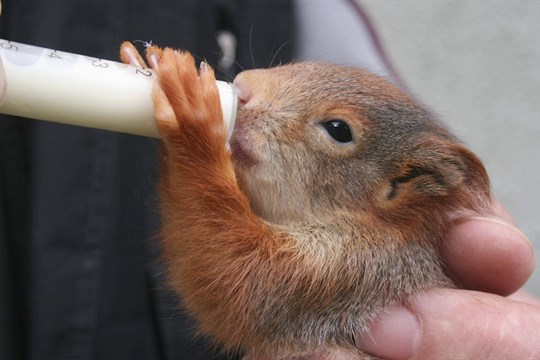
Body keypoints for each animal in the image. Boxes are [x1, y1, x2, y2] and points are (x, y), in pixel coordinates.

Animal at [120, 43, 492, 360]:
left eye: (339, 129)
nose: (242, 89)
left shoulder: (349, 276)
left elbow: (233, 275)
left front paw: (192, 116)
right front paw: (142, 63)